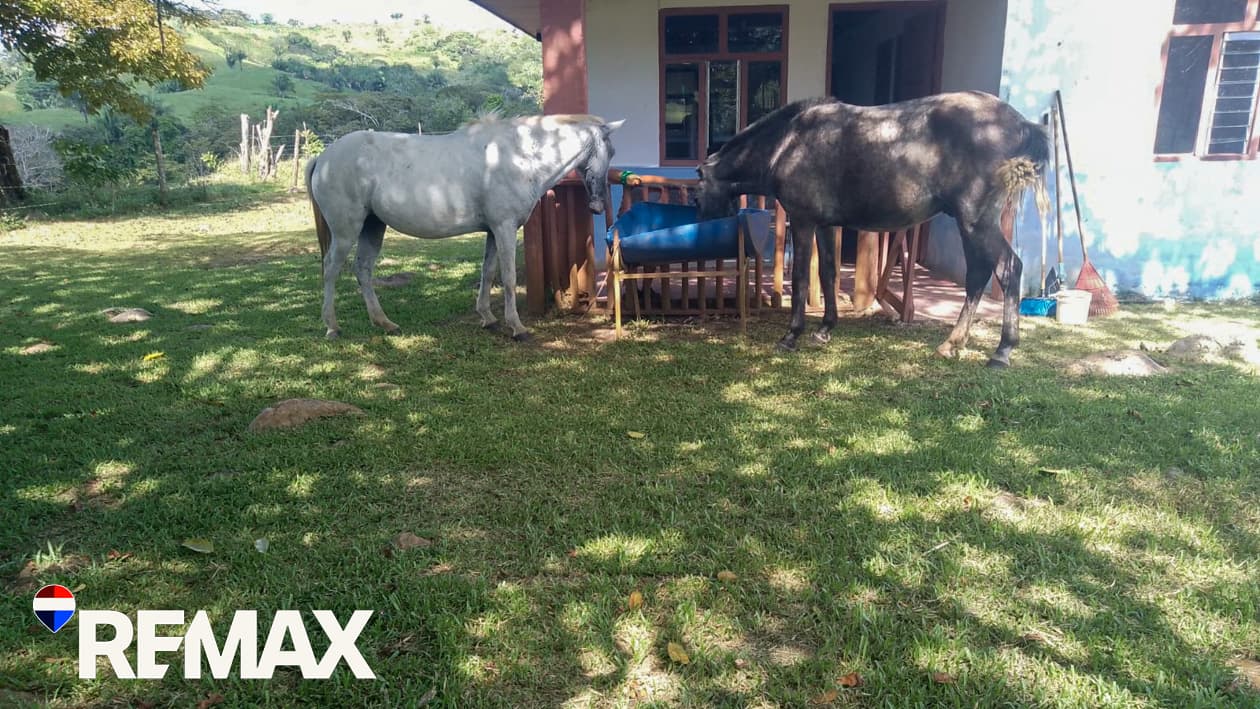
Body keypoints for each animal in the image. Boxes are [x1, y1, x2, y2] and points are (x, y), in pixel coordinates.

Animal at [306, 114, 623, 341]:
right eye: (609, 150)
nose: (597, 206)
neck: (519, 156)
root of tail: (323, 158)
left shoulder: (493, 231)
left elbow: (488, 271)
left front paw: (489, 319)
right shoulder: (505, 228)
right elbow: (508, 277)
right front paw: (517, 327)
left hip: (373, 227)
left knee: (363, 270)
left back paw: (384, 323)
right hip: (346, 231)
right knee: (331, 269)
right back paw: (332, 327)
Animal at [694, 91, 1049, 368]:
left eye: (698, 192)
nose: (700, 220)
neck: (788, 143)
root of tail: (1021, 124)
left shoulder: (803, 221)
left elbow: (800, 279)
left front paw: (792, 335)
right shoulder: (825, 225)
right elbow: (828, 273)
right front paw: (825, 329)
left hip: (976, 221)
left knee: (1004, 270)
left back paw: (995, 350)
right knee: (985, 274)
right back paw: (964, 345)